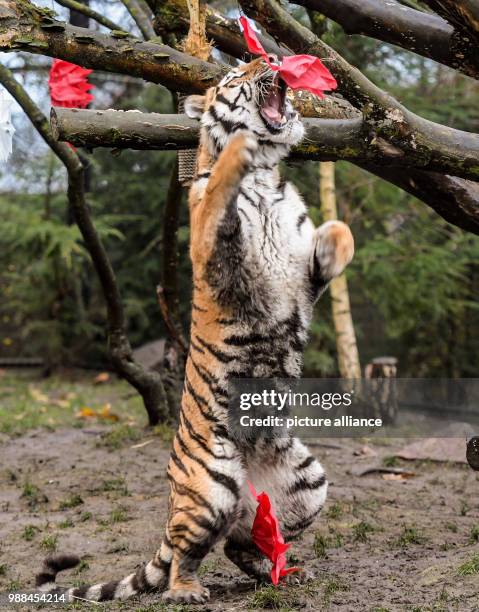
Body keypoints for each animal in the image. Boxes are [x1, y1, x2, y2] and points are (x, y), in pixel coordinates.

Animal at [35, 56, 354, 604]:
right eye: (236, 72)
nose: (269, 58)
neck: (265, 174)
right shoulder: (212, 239)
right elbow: (218, 183)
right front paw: (236, 151)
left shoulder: (302, 273)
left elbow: (339, 233)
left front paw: (340, 238)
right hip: (212, 488)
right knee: (189, 553)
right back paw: (187, 590)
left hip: (308, 483)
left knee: (239, 543)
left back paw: (282, 571)